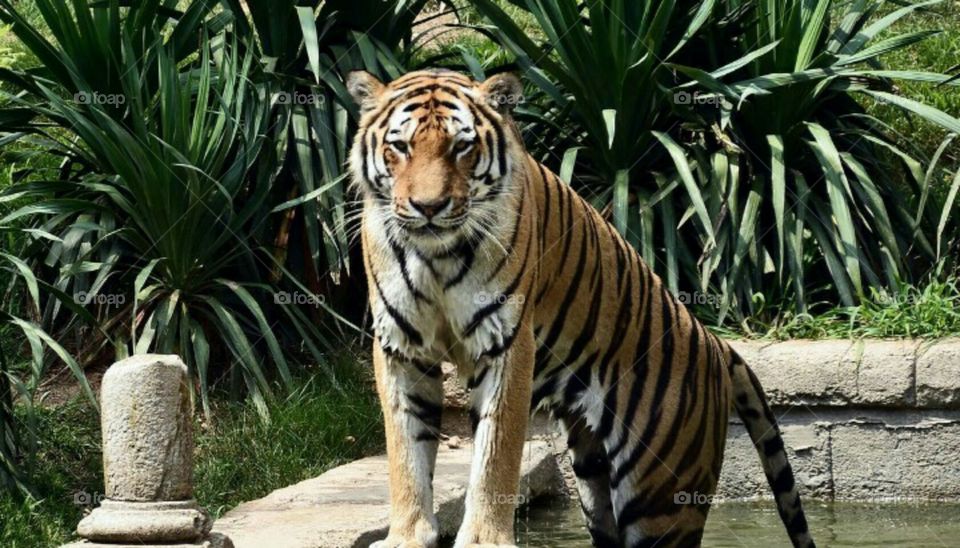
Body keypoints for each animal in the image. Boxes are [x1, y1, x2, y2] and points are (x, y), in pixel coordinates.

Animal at [347, 68, 815, 548]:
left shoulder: (507, 345)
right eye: (401, 146)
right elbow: (406, 450)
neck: (435, 257)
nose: (429, 207)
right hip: (593, 475)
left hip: (661, 497)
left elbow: (495, 454)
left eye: (461, 146)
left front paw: (482, 540)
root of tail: (716, 343)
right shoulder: (401, 347)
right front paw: (406, 537)